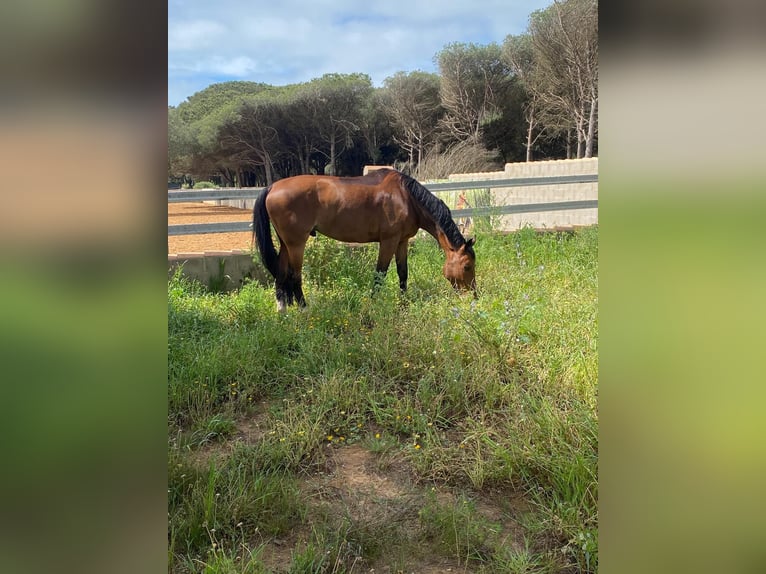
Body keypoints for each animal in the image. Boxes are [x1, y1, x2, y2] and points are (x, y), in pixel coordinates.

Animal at [252, 168, 476, 311]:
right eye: (467, 266)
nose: (473, 297)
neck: (407, 197)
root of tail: (272, 187)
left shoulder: (401, 242)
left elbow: (403, 274)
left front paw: (403, 305)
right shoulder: (388, 241)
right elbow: (380, 275)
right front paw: (374, 306)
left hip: (285, 244)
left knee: (281, 273)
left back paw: (283, 312)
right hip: (297, 244)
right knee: (294, 276)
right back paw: (304, 311)